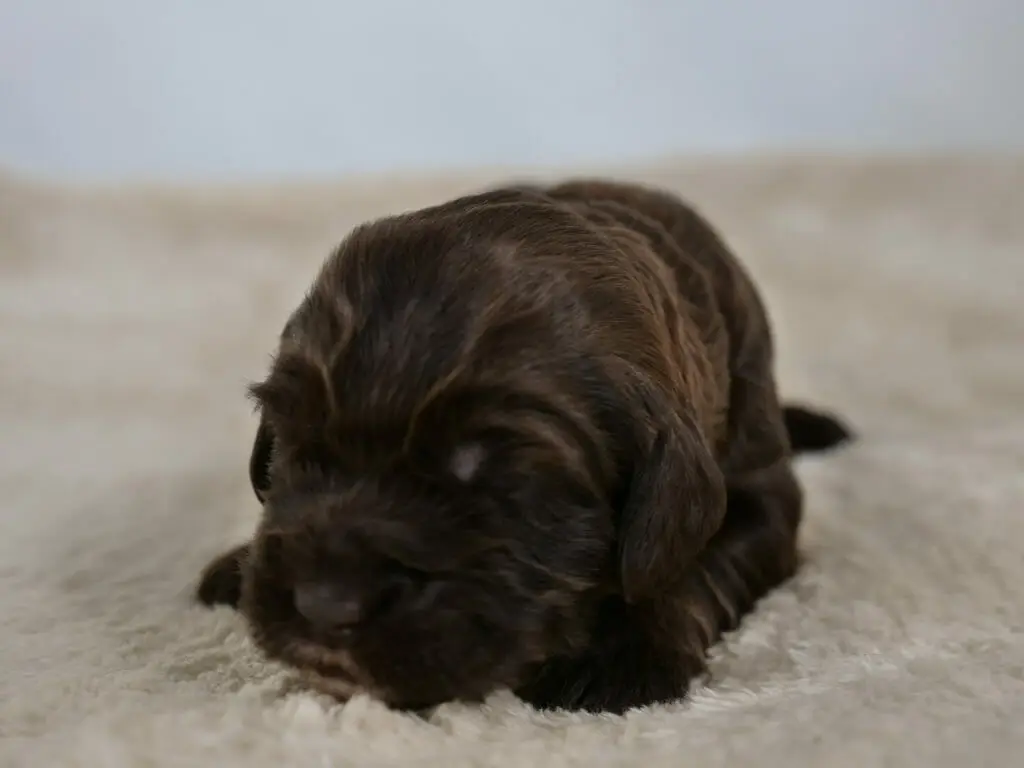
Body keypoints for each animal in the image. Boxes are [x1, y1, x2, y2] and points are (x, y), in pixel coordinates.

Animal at [195, 180, 851, 716]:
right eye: (296, 446)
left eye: (501, 480)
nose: (325, 605)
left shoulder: (759, 494)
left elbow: (688, 569)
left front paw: (617, 660)